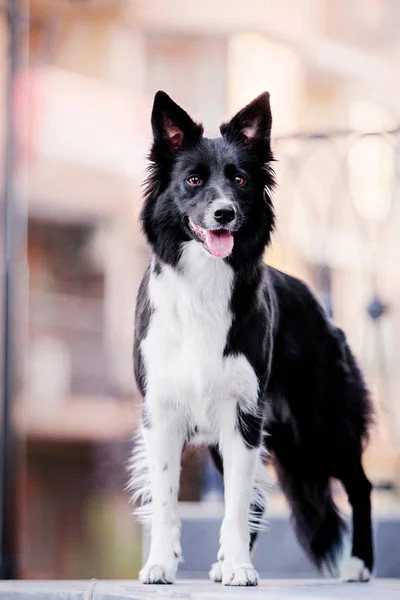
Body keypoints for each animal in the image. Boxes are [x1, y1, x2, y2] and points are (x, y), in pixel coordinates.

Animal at [131, 90, 376, 584]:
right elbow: (167, 499)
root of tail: (320, 309)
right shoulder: (162, 413)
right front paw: (161, 564)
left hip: (322, 424)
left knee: (359, 484)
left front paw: (240, 568)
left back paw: (358, 563)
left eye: (240, 180)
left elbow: (238, 504)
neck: (203, 282)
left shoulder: (243, 416)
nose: (224, 213)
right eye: (192, 180)